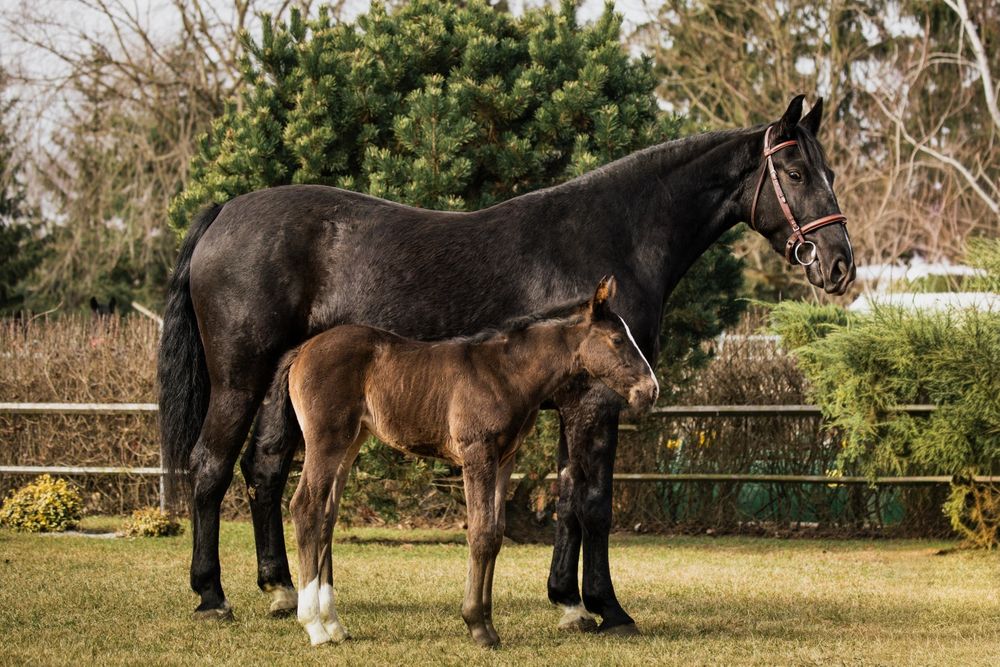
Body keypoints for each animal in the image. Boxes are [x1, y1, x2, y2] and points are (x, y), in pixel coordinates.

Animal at [262, 277, 658, 648]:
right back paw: (314, 626)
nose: (650, 391)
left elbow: (495, 533)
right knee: (305, 507)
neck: (506, 374)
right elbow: (480, 533)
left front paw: (489, 624)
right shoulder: (476, 453)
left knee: (326, 517)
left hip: (350, 441)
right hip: (325, 440)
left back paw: (335, 625)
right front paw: (477, 626)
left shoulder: (504, 459)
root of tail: (302, 349)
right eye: (618, 340)